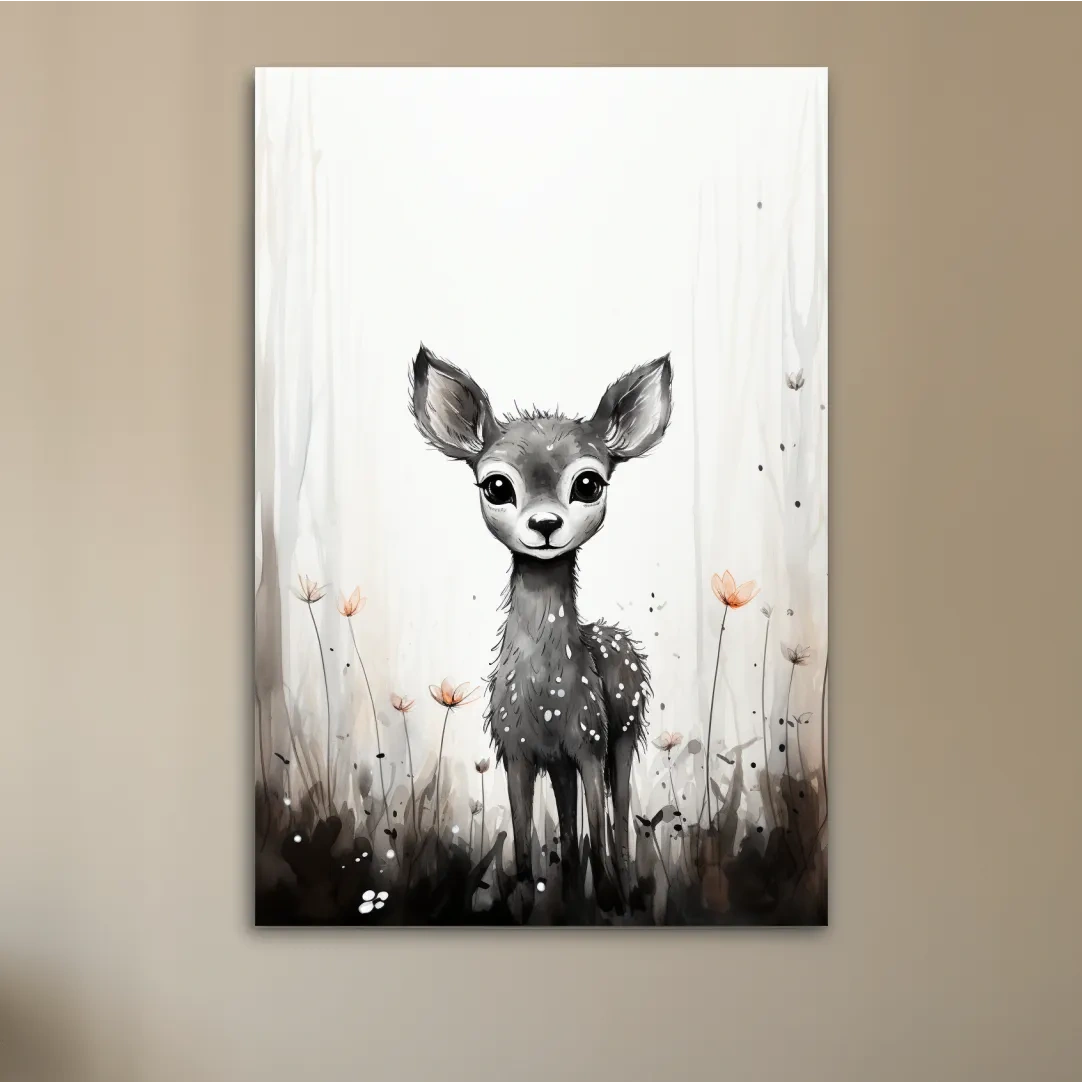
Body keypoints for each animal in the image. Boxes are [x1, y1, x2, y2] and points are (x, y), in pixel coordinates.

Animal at [410, 344, 673, 909]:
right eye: (496, 485)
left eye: (589, 482)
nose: (546, 524)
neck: (546, 694)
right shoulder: (517, 751)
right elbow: (528, 847)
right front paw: (527, 900)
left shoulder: (590, 740)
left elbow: (599, 826)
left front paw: (609, 899)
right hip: (561, 761)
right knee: (570, 828)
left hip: (624, 730)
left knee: (618, 818)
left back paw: (619, 890)